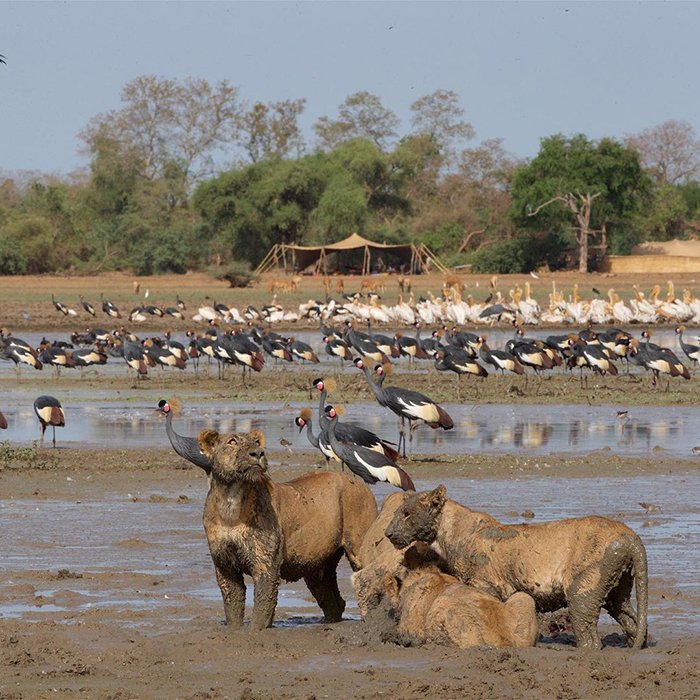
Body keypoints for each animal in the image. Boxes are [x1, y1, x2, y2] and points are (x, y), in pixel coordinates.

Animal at [197, 426, 380, 628]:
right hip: (316, 568)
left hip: (359, 549)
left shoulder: (265, 564)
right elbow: (233, 608)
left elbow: (262, 608)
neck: (231, 499)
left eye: (257, 442)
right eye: (232, 441)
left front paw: (256, 630)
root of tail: (360, 483)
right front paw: (235, 629)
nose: (258, 453)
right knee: (335, 602)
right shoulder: (225, 566)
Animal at [386, 484, 648, 648]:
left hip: (583, 589)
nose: (388, 533)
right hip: (617, 588)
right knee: (631, 619)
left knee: (590, 636)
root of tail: (630, 537)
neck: (448, 535)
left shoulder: (485, 585)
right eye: (399, 511)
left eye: (406, 513)